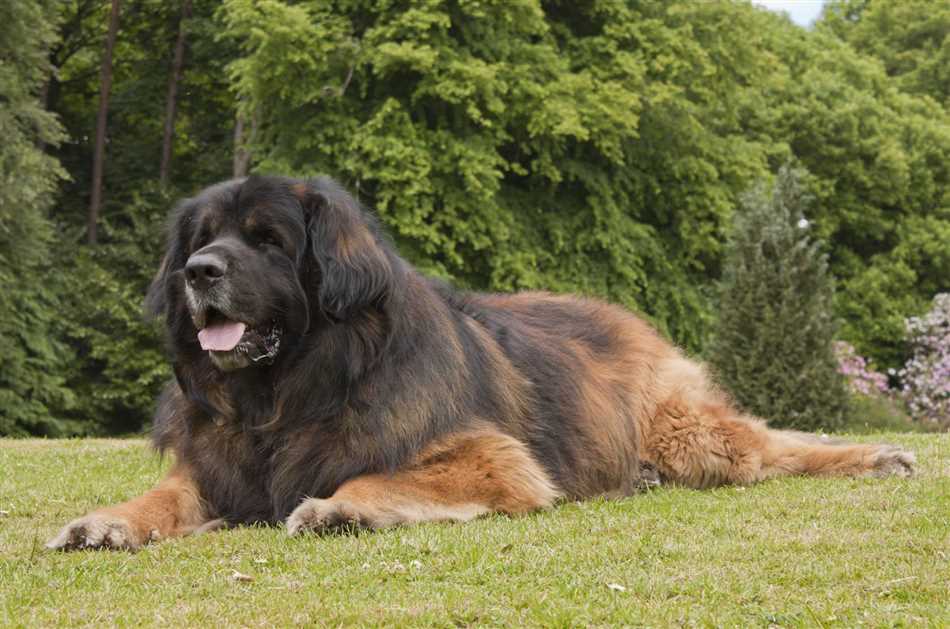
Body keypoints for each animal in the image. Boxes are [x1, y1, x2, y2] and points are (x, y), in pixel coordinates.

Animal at [46, 174, 916, 548]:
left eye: (267, 240)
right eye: (201, 240)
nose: (199, 274)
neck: (285, 396)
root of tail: (618, 310)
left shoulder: (493, 457)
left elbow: (375, 475)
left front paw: (338, 507)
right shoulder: (218, 466)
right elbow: (163, 494)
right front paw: (106, 519)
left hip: (688, 431)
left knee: (772, 446)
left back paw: (877, 454)